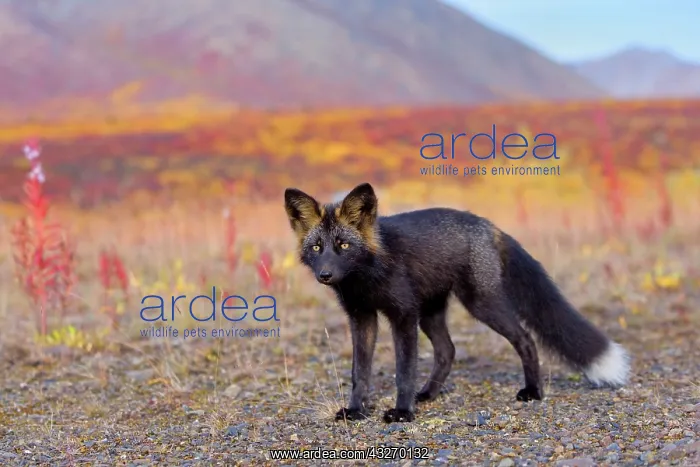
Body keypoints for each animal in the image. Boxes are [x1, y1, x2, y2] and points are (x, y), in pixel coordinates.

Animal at [283, 182, 630, 423]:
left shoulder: (403, 315)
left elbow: (404, 370)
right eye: (317, 247)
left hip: (480, 304)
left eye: (343, 245)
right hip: (431, 313)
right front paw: (356, 411)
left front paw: (402, 412)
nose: (325, 275)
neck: (369, 273)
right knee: (448, 350)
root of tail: (488, 225)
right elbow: (360, 373)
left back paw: (532, 392)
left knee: (525, 339)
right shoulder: (362, 317)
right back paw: (429, 394)